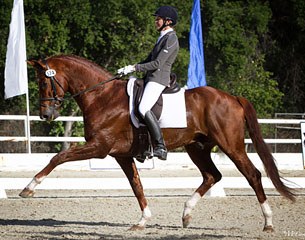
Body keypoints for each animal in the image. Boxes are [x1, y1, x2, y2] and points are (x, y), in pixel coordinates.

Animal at [20, 54, 294, 231]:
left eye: (43, 82)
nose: (45, 115)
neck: (102, 97)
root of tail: (233, 97)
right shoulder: (121, 155)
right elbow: (136, 185)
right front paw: (142, 220)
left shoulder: (100, 148)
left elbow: (59, 157)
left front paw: (29, 188)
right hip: (197, 147)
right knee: (212, 176)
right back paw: (186, 214)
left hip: (231, 145)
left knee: (253, 175)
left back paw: (268, 223)